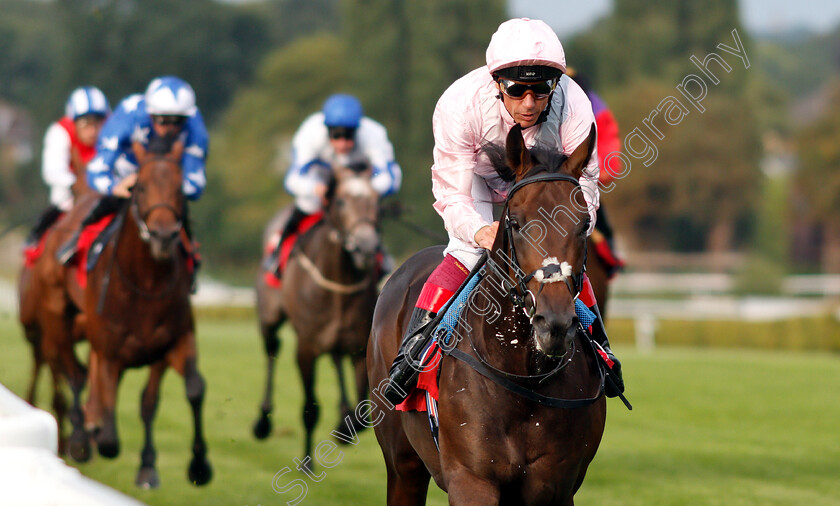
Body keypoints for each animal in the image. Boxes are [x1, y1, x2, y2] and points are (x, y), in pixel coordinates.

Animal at [18, 140, 212, 488]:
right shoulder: (108, 348)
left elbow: (183, 391)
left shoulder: (171, 341)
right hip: (53, 320)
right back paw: (78, 438)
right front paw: (90, 435)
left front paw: (188, 466)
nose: (164, 236)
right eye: (140, 187)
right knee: (71, 372)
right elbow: (108, 434)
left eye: (180, 189)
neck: (145, 282)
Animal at [251, 163, 378, 466]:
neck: (338, 285)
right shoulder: (306, 348)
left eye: (376, 201)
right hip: (269, 318)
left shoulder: (359, 345)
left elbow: (363, 414)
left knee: (336, 360)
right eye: (341, 201)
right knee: (272, 349)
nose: (367, 247)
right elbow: (310, 407)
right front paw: (307, 462)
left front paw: (345, 426)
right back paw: (263, 422)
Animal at [368, 123, 604, 506]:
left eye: (584, 223)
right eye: (516, 222)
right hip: (402, 464)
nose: (554, 324)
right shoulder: (472, 481)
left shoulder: (556, 487)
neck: (524, 380)